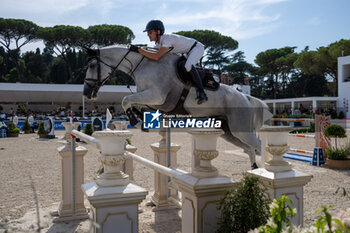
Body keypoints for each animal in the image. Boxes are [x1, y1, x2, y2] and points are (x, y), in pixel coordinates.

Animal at [83, 44, 272, 168]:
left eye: (92, 65)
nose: (86, 92)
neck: (143, 65)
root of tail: (245, 96)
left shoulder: (157, 95)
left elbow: (125, 99)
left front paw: (134, 119)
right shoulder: (152, 99)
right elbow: (134, 103)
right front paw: (139, 119)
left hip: (241, 130)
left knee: (259, 146)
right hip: (229, 132)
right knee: (250, 149)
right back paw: (254, 169)